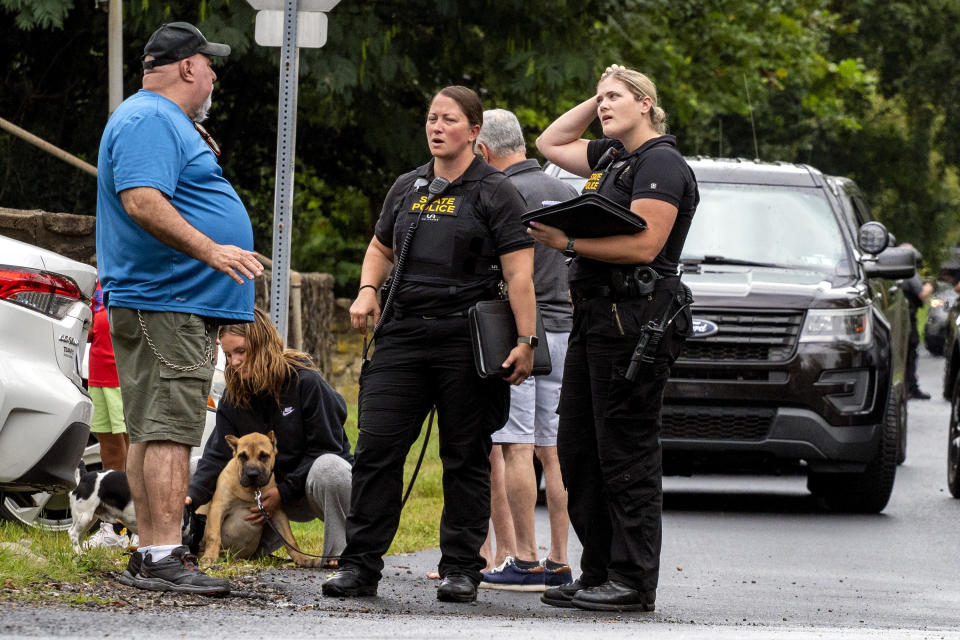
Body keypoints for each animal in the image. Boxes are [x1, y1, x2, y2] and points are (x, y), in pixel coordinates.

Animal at [201, 432, 324, 568]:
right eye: (242, 456)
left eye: (264, 456)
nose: (252, 474)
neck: (253, 490)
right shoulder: (218, 508)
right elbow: (213, 535)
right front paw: (210, 556)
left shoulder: (278, 513)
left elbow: (289, 538)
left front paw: (303, 558)